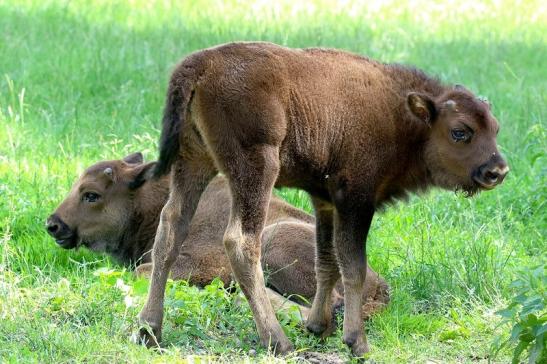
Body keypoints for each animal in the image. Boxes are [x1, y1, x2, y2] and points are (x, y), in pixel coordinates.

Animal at [46, 151, 390, 324]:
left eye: (92, 194)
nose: (53, 225)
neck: (149, 202)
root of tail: (381, 287)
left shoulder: (199, 263)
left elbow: (144, 272)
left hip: (275, 244)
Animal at [141, 40, 510, 356]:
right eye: (460, 131)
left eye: (495, 128)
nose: (497, 170)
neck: (402, 115)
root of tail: (199, 63)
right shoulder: (356, 200)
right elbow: (353, 266)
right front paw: (356, 341)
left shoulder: (325, 202)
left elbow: (327, 261)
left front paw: (318, 327)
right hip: (256, 168)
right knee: (241, 242)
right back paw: (278, 341)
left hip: (194, 161)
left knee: (170, 228)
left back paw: (149, 331)